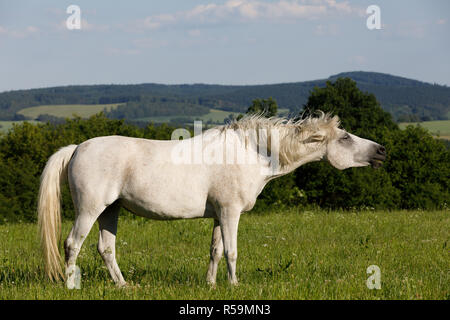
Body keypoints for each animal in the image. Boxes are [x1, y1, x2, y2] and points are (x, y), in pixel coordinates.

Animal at [37, 113, 384, 288]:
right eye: (345, 138)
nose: (381, 151)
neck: (250, 152)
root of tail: (77, 148)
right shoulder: (230, 212)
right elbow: (231, 252)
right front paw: (234, 285)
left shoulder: (218, 214)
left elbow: (215, 251)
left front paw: (212, 284)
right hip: (90, 209)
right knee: (72, 244)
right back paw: (71, 285)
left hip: (111, 210)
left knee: (106, 249)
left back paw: (124, 286)